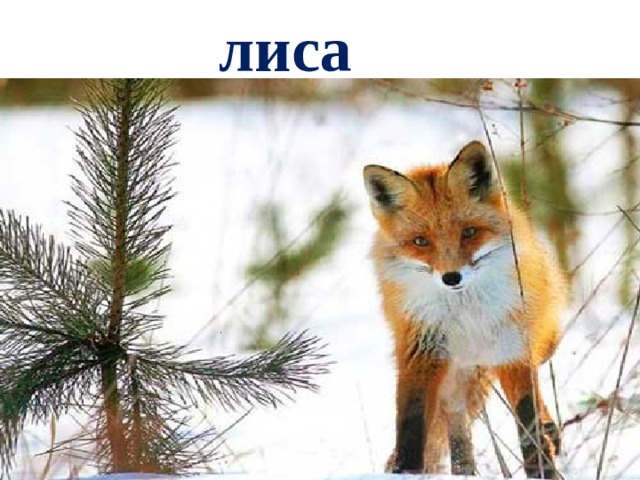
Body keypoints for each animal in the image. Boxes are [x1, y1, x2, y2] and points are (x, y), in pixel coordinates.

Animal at [363, 141, 567, 479]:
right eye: (421, 241)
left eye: (469, 232)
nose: (451, 277)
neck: (467, 317)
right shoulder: (421, 350)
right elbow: (411, 425)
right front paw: (405, 470)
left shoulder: (513, 351)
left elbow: (529, 426)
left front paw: (542, 470)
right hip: (455, 381)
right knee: (456, 428)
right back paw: (464, 469)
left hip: (534, 342)